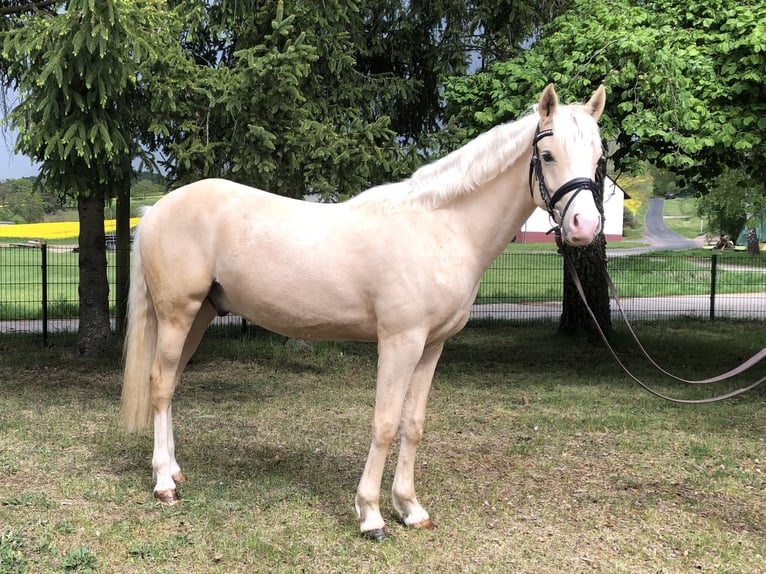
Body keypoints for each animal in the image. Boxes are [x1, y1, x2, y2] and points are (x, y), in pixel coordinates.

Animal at [122, 83, 606, 541]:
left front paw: (410, 509)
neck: (441, 228)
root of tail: (156, 209)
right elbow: (386, 423)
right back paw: (164, 484)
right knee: (161, 384)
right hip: (178, 315)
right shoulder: (400, 342)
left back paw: (174, 470)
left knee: (171, 383)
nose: (585, 226)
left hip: (199, 316)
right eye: (547, 154)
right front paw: (371, 515)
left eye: (599, 157)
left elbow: (413, 424)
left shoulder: (432, 346)